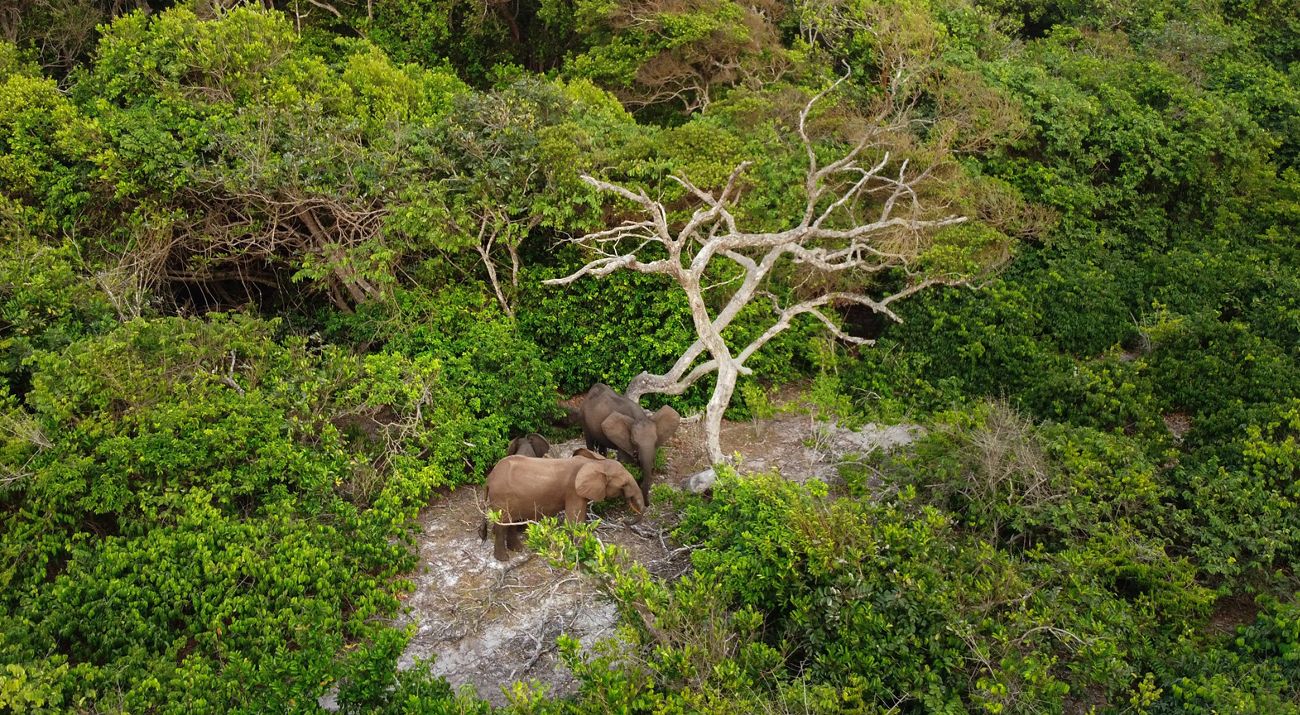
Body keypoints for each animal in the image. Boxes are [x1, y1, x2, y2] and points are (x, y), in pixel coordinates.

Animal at [479, 449, 645, 561]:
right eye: (624, 484)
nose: (625, 520)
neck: (594, 463)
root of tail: (489, 478)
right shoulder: (573, 491)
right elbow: (574, 521)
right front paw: (582, 553)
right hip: (501, 497)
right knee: (502, 524)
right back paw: (504, 558)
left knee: (511, 521)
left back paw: (518, 549)